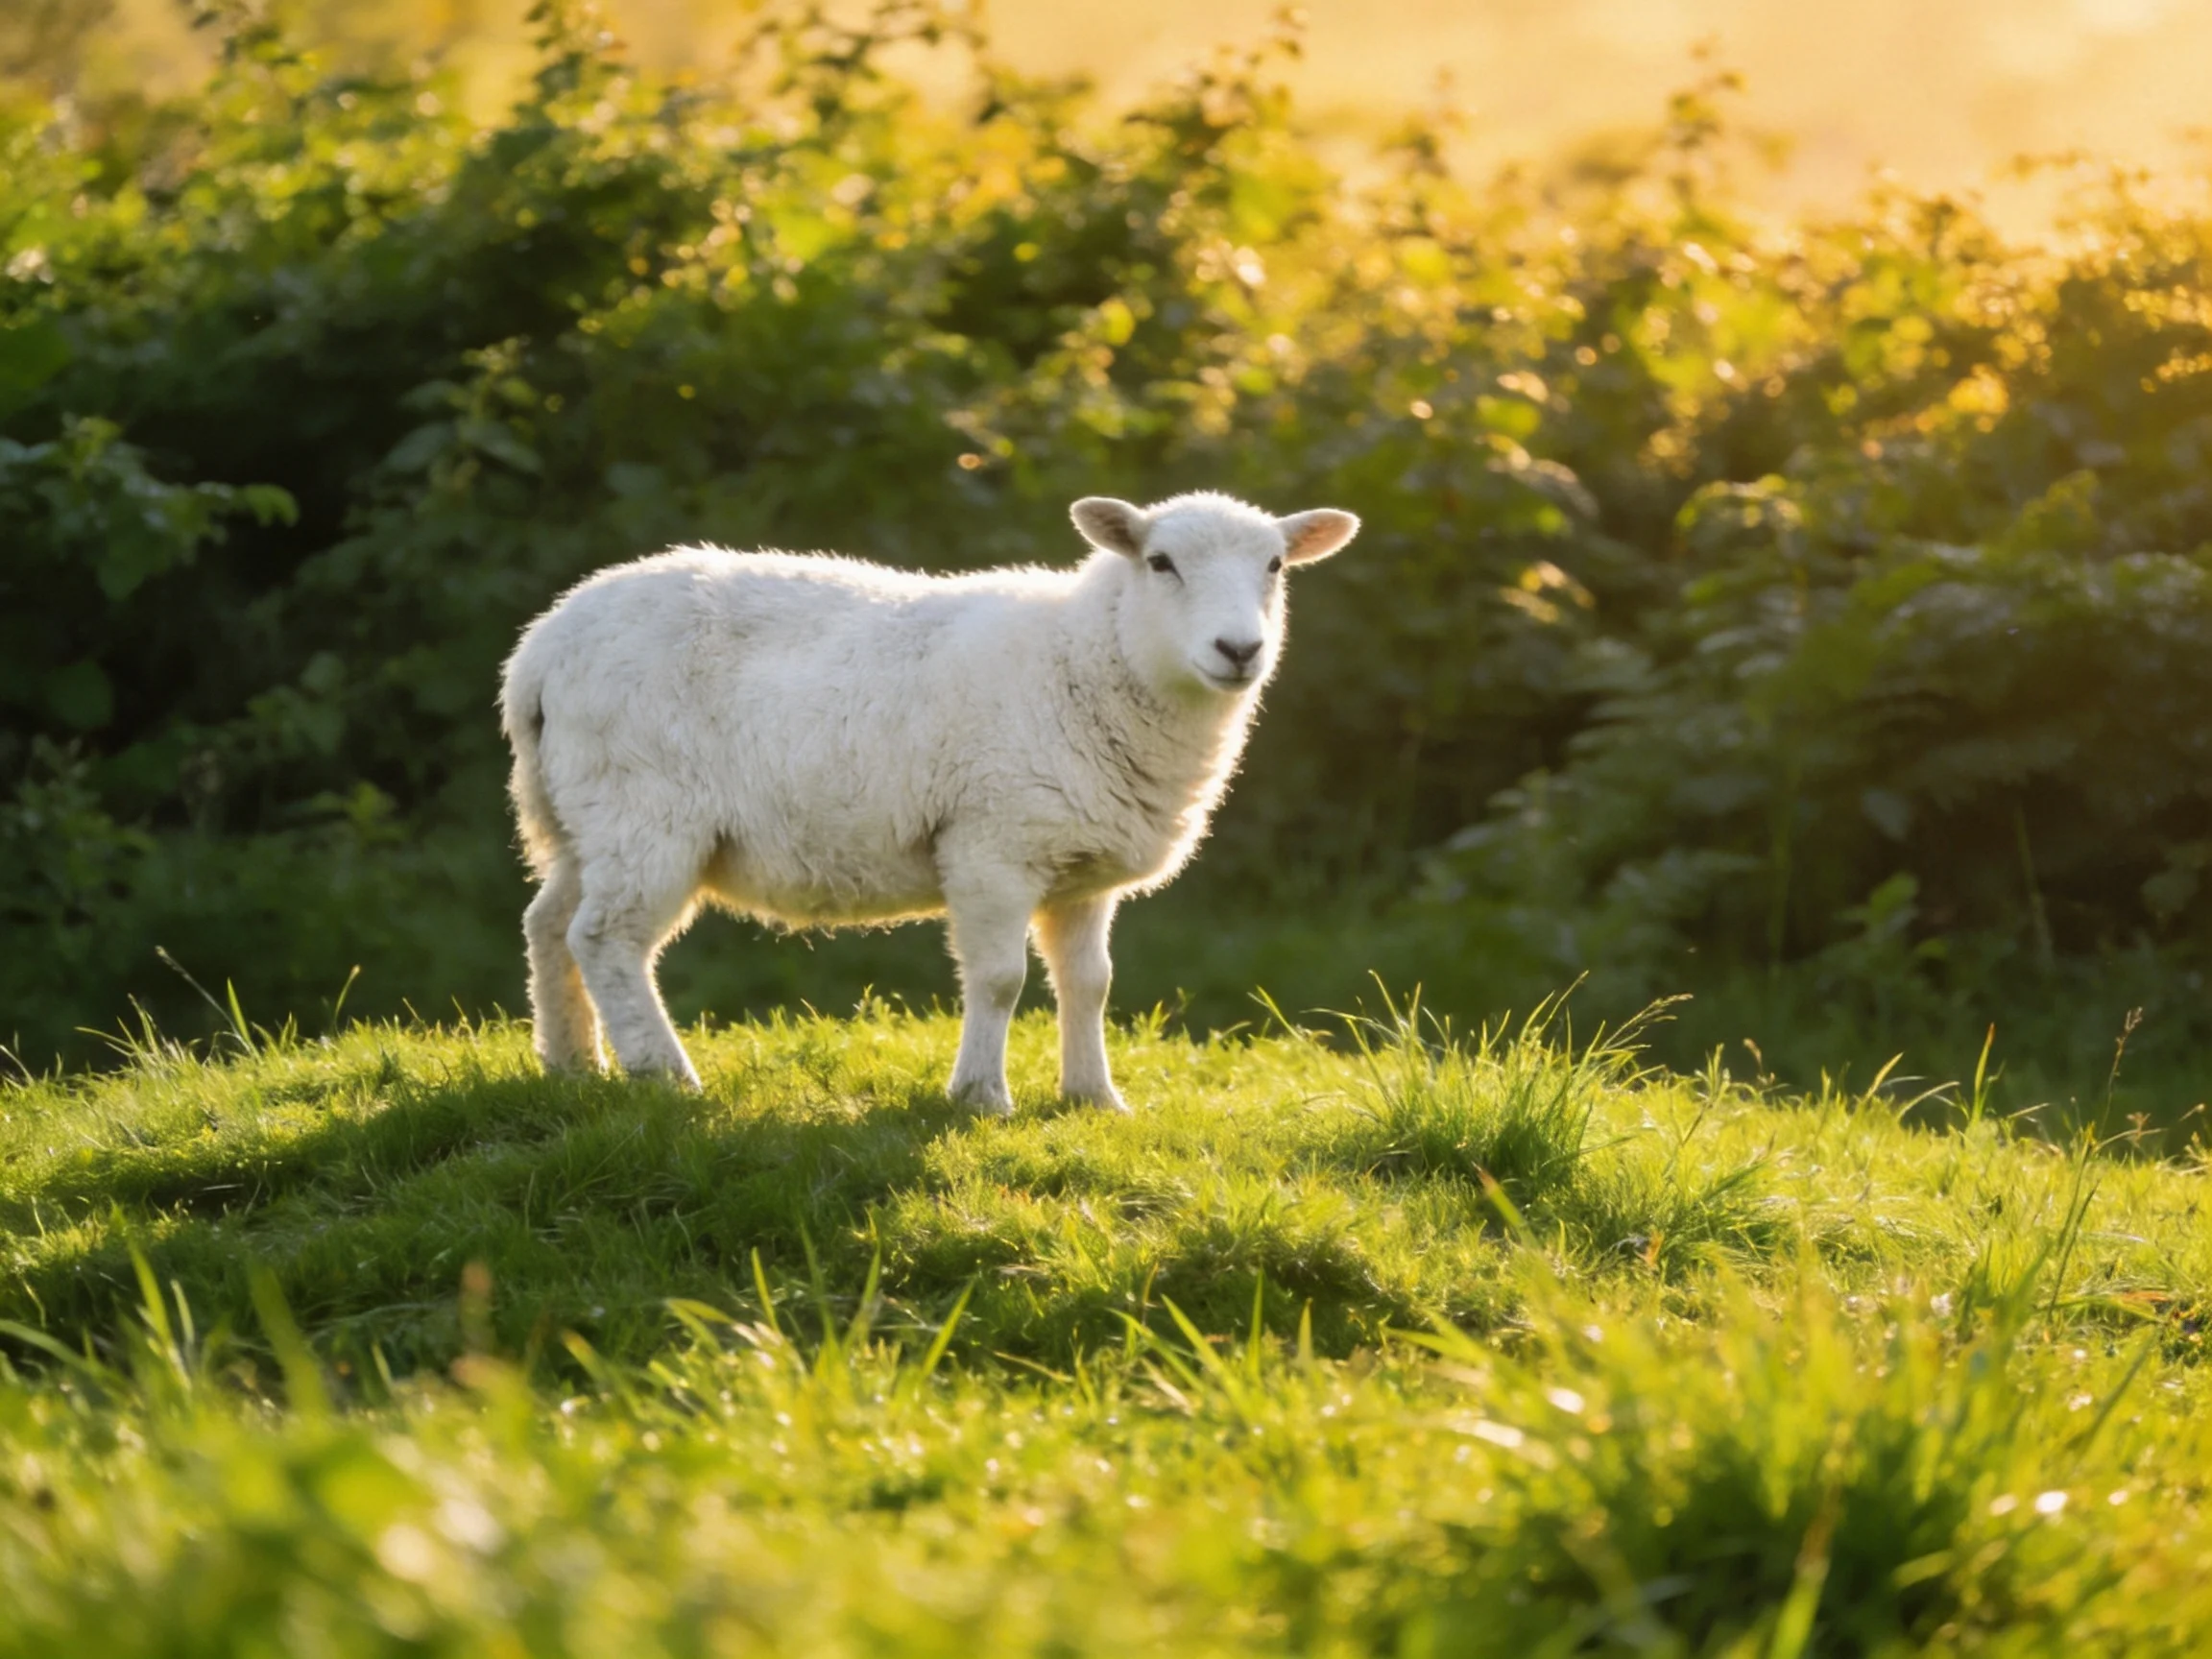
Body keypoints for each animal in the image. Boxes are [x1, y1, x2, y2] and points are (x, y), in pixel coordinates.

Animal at [498, 490, 1360, 1114]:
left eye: (1276, 565)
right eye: (1160, 562)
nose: (1239, 649)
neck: (1087, 659)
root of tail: (540, 649)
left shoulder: (1081, 868)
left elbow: (1091, 984)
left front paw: (1094, 1098)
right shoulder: (991, 846)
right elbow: (1000, 980)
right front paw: (981, 1098)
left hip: (583, 816)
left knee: (548, 925)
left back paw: (571, 1063)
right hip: (645, 810)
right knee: (606, 939)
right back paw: (663, 1075)